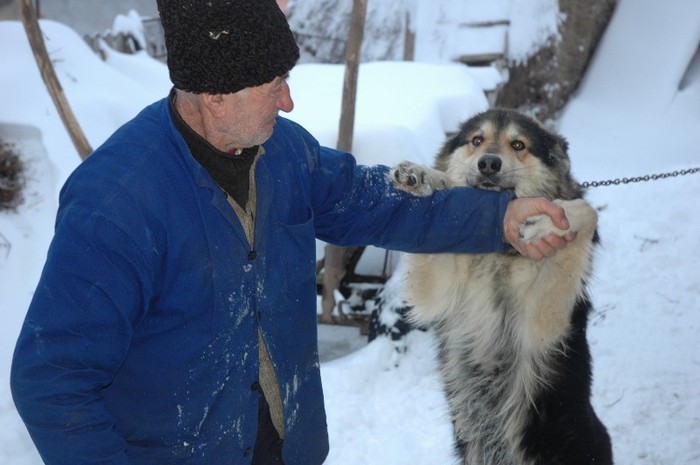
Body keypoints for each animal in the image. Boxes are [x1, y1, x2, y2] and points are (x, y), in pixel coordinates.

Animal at [392, 109, 608, 464]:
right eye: (477, 140)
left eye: (518, 144)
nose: (489, 163)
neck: (496, 257)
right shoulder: (432, 290)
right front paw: (424, 176)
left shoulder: (546, 323)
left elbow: (585, 211)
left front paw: (541, 225)